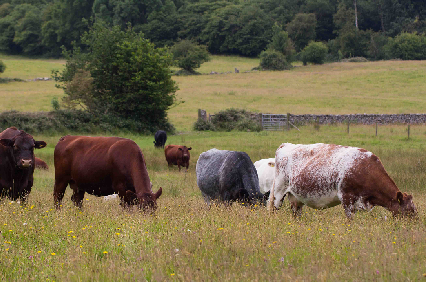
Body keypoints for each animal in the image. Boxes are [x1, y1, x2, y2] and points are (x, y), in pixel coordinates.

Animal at [268, 142, 418, 219]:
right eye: (409, 212)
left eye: (414, 210)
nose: (415, 224)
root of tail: (285, 145)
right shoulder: (347, 198)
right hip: (279, 192)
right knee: (274, 210)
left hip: (296, 198)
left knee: (295, 213)